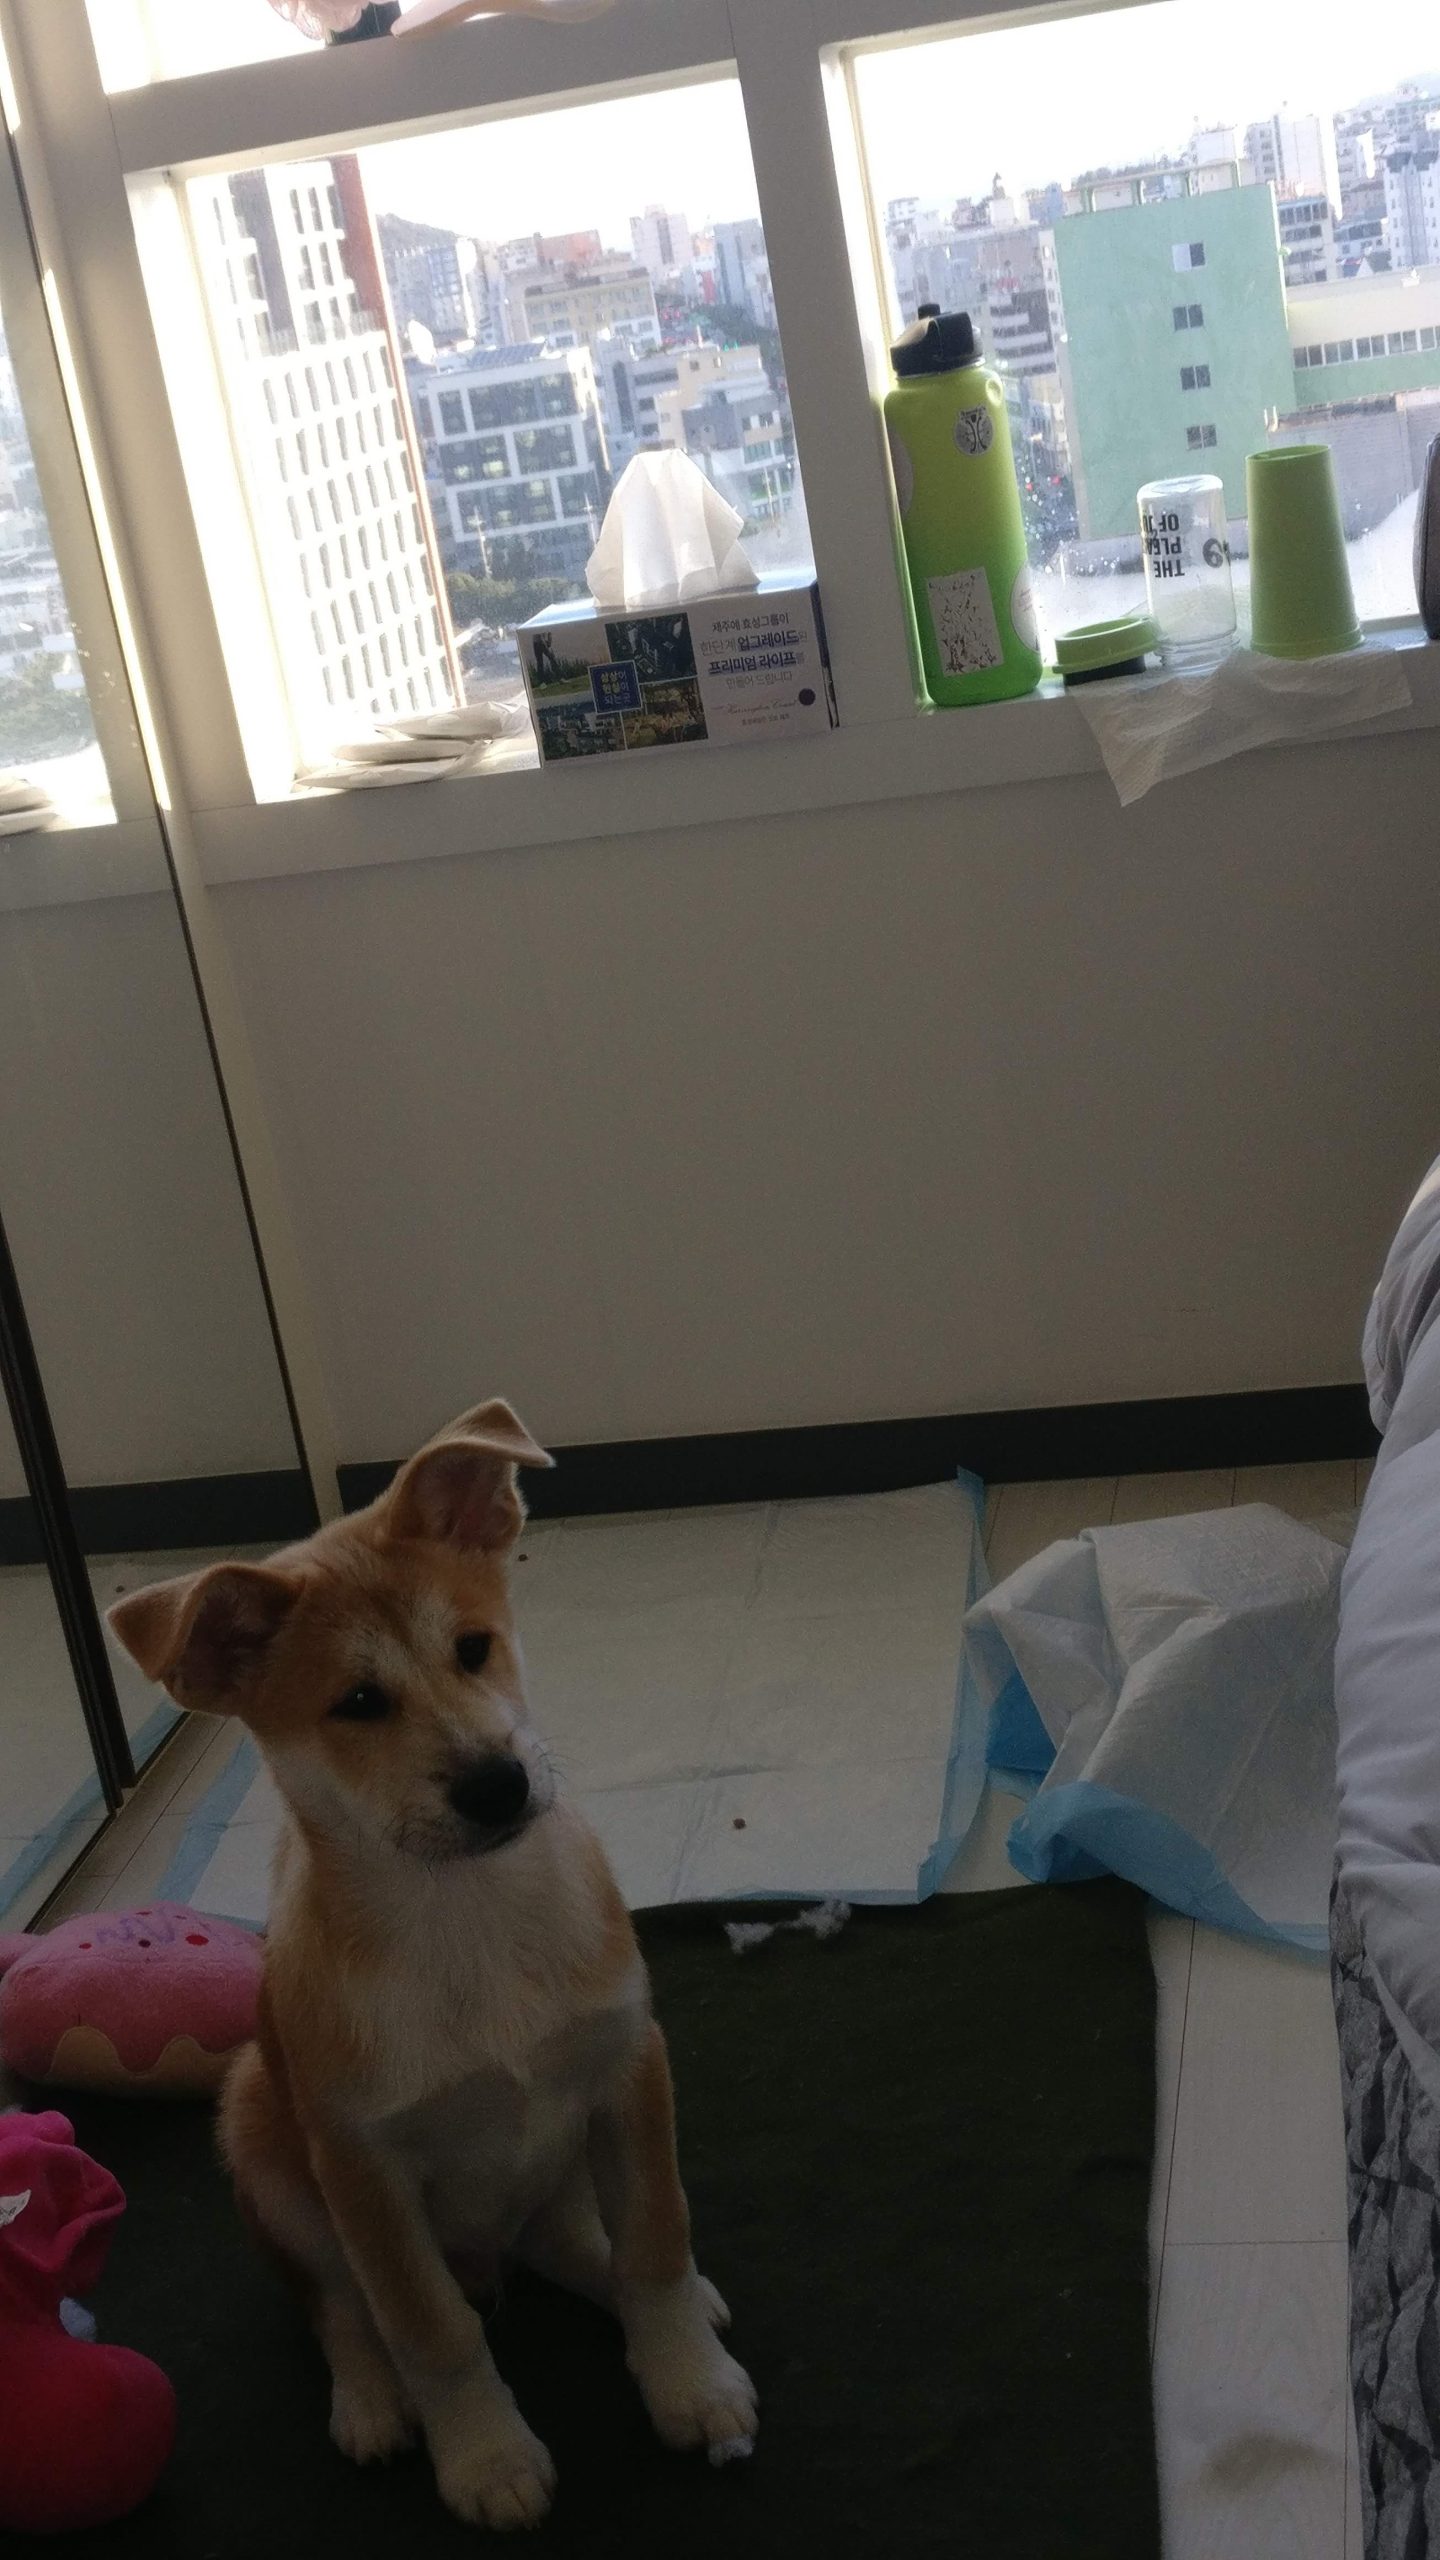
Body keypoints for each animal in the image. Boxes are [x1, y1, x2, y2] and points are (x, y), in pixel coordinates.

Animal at [107, 1400, 757, 2530]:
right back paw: (371, 2404)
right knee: (339, 2306)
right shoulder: (365, 2166)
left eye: (474, 1648)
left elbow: (655, 2239)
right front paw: (486, 2457)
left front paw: (690, 2380)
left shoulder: (628, 2066)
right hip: (262, 2138)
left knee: (570, 2245)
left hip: (557, 2163)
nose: (500, 1785)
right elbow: (429, 2328)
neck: (470, 1920)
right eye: (359, 1702)